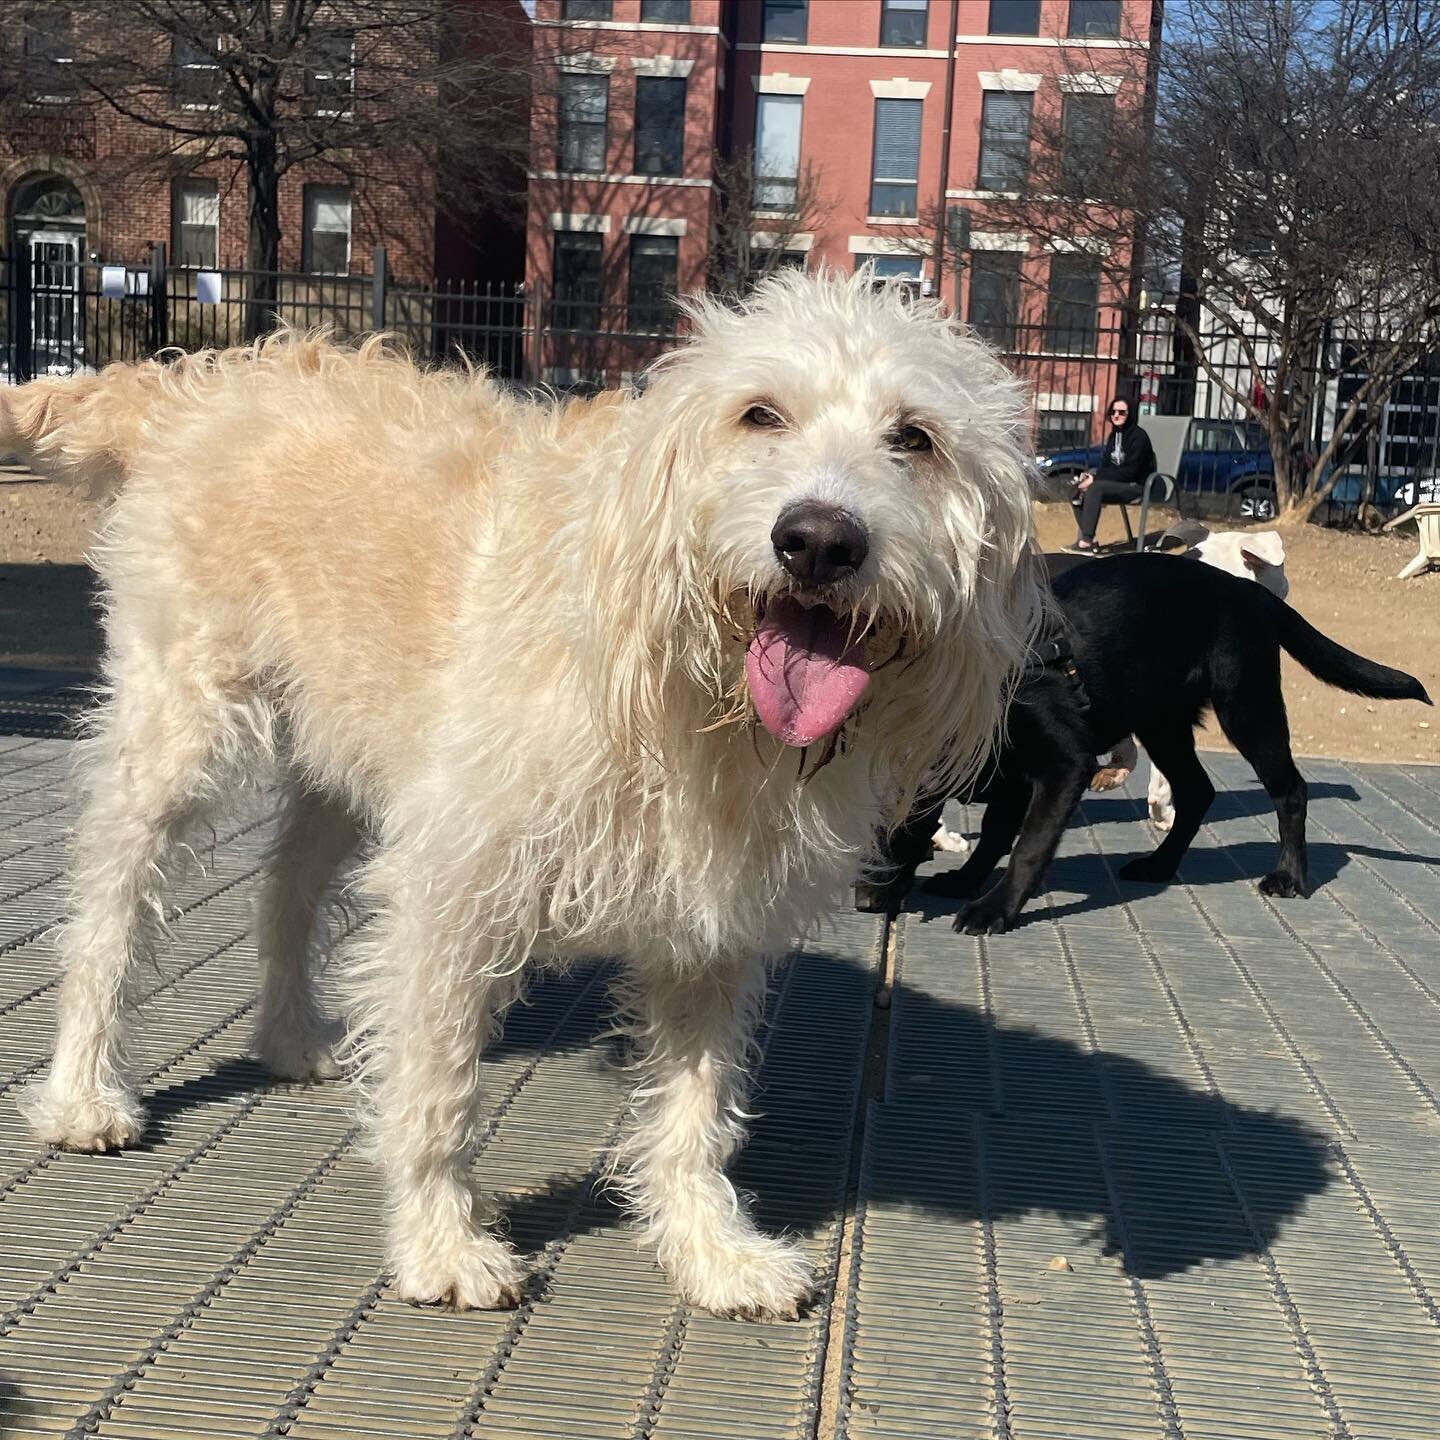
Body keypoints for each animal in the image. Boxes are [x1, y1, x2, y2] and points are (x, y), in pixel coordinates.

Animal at [0, 270, 1042, 1319]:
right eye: (760, 414)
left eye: (915, 437)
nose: (818, 541)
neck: (690, 693)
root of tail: (204, 377)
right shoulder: (451, 889)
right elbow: (436, 1092)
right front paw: (441, 1244)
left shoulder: (710, 932)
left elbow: (695, 1110)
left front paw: (711, 1252)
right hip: (183, 731)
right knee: (109, 904)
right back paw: (85, 1091)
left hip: (351, 760)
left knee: (287, 887)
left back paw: (289, 1036)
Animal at [858, 550, 1434, 933]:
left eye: (894, 835)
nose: (863, 903)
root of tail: (1247, 590)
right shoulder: (1010, 780)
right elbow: (996, 838)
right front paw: (966, 882)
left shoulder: (1065, 765)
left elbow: (1028, 847)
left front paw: (994, 909)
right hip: (1163, 724)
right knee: (1198, 791)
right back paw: (1159, 864)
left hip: (1247, 708)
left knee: (1290, 789)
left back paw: (1289, 876)